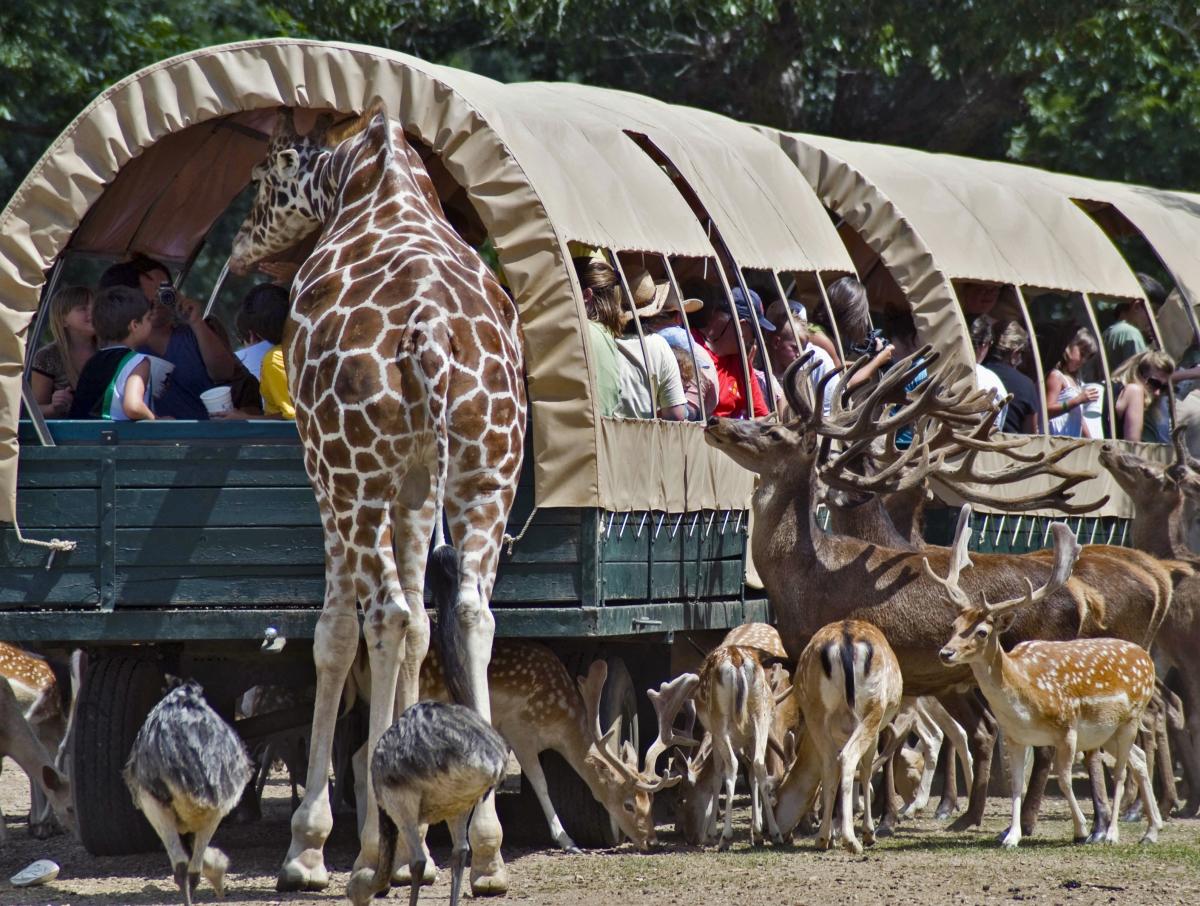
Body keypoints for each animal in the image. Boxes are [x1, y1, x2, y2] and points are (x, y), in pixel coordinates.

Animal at [229, 104, 525, 892]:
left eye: (261, 175)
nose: (237, 251)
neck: (360, 174)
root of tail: (429, 334)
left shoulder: (325, 469)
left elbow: (336, 633)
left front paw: (309, 850)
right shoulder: (418, 481)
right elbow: (424, 626)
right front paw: (416, 821)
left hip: (352, 472)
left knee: (384, 613)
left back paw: (367, 853)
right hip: (489, 471)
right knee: (468, 612)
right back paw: (485, 849)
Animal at [926, 506, 1161, 844]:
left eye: (982, 631)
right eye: (954, 625)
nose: (946, 653)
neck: (1023, 697)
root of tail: (1146, 657)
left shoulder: (1067, 729)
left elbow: (1063, 780)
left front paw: (1080, 830)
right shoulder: (1015, 736)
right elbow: (1015, 784)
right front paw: (1011, 836)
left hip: (1129, 719)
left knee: (1118, 772)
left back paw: (1111, 832)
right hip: (1108, 733)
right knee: (1138, 759)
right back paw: (1152, 831)